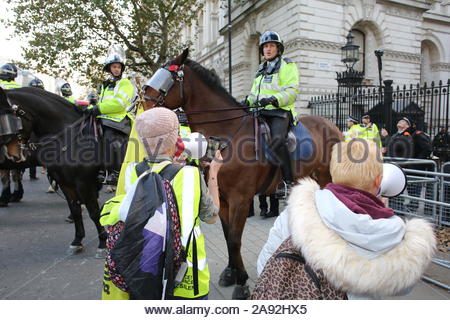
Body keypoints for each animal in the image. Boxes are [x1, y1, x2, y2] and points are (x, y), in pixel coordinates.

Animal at [0, 87, 107, 255]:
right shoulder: (66, 183)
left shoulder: (84, 182)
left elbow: (95, 212)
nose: (11, 152)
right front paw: (77, 240)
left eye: (9, 117)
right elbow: (75, 210)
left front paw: (103, 242)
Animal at [144, 48, 344, 298]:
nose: (143, 108)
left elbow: (235, 239)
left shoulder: (241, 199)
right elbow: (228, 236)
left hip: (327, 177)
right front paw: (232, 273)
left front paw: (242, 283)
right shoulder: (222, 199)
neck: (226, 134)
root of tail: (332, 125)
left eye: (166, 79)